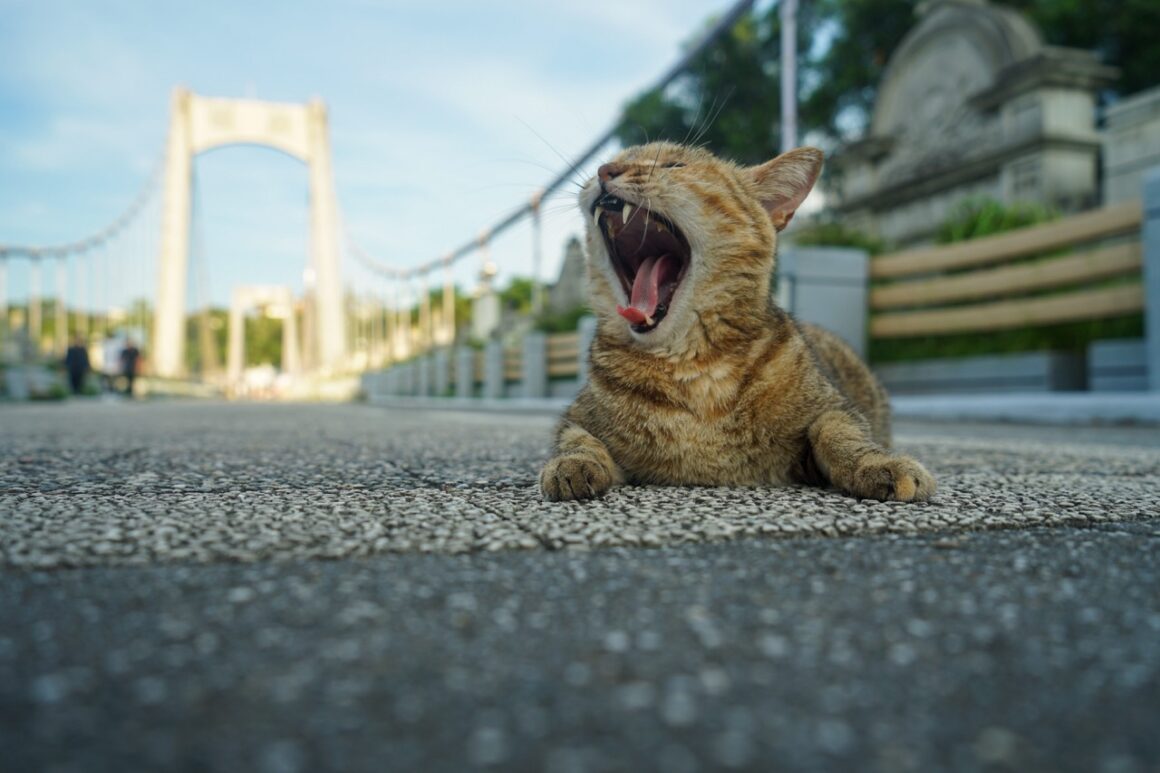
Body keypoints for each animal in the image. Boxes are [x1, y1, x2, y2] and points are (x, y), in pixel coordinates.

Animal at [538, 141, 937, 503]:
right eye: (612, 161)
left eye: (673, 165)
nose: (605, 170)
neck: (691, 366)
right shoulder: (576, 417)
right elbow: (576, 440)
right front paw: (571, 464)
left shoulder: (836, 408)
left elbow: (840, 433)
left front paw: (877, 464)